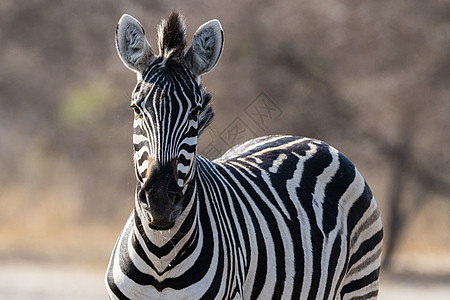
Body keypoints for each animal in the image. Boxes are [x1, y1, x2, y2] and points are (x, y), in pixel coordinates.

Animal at [105, 12, 384, 300]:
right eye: (136, 108)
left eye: (195, 111)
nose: (160, 200)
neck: (160, 255)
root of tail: (312, 140)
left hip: (361, 282)